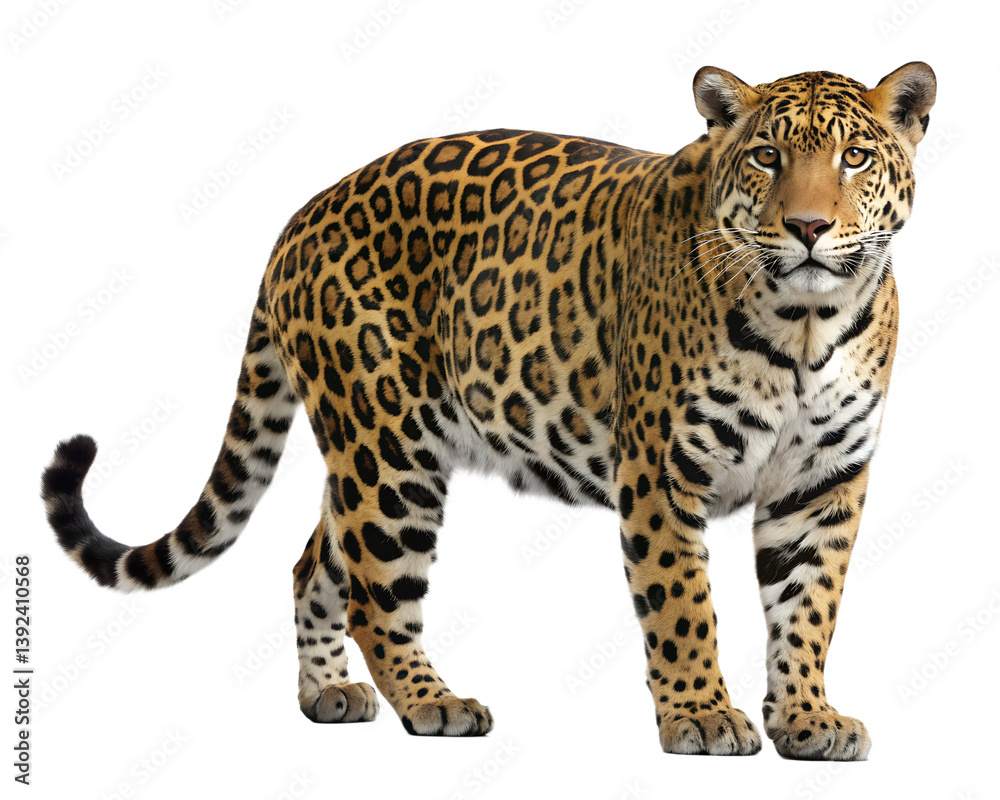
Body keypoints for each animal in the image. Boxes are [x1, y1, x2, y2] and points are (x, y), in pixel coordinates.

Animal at [42, 62, 936, 759]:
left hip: (366, 453)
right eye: (765, 157)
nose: (809, 227)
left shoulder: (822, 484)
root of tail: (301, 214)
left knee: (315, 563)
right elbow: (682, 602)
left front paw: (808, 719)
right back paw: (433, 703)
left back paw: (328, 694)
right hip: (388, 450)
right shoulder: (660, 471)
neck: (807, 323)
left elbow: (808, 607)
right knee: (376, 592)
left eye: (855, 158)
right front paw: (703, 716)